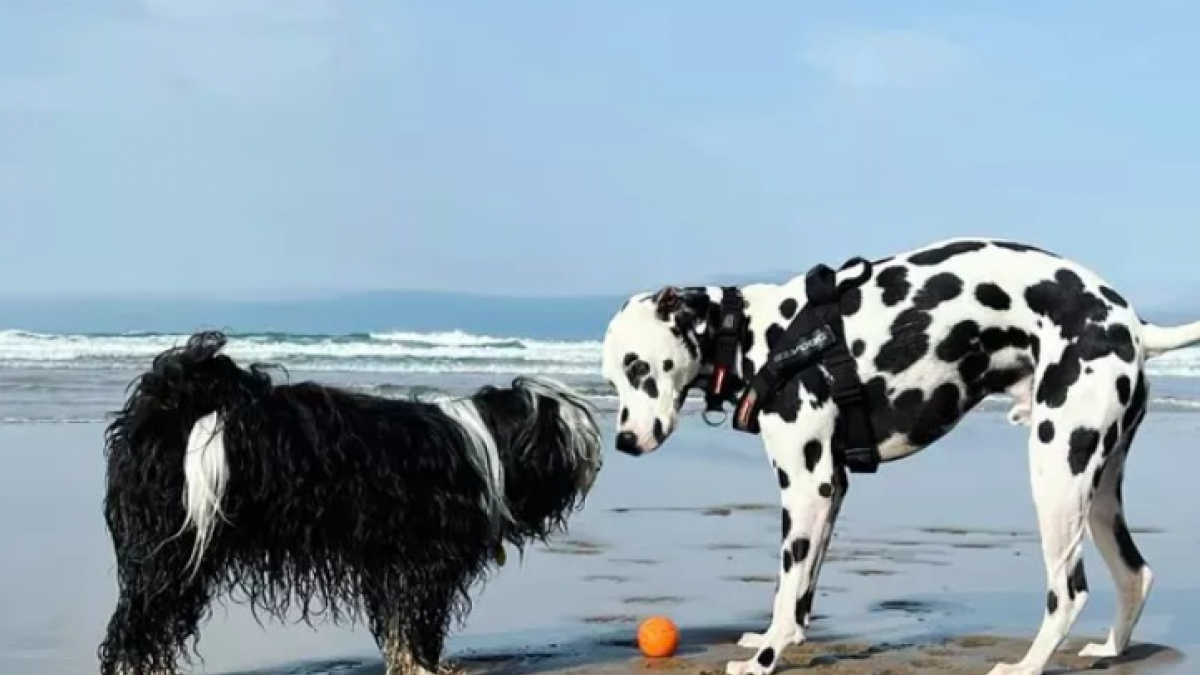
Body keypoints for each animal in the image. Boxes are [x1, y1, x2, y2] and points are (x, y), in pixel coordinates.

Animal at [96, 329, 600, 672]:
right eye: (566, 424)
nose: (597, 449)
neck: (487, 447)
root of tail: (168, 408)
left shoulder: (391, 560)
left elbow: (399, 621)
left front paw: (411, 663)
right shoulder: (423, 561)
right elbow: (415, 618)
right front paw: (424, 665)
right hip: (170, 553)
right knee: (136, 627)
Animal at [600, 237, 1200, 672]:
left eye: (639, 367)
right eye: (613, 377)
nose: (624, 442)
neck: (757, 335)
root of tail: (1131, 324)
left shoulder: (807, 488)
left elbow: (785, 589)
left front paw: (763, 661)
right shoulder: (831, 489)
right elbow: (800, 592)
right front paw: (780, 639)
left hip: (1057, 477)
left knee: (1069, 592)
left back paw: (1027, 665)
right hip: (1096, 491)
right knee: (1135, 574)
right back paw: (1110, 649)